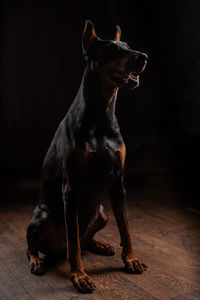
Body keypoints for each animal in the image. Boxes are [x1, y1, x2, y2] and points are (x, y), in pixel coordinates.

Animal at [26, 20, 148, 292]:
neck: (102, 114)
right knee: (40, 246)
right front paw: (79, 275)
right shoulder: (71, 188)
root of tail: (55, 250)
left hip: (101, 212)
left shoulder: (118, 183)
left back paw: (99, 244)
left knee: (84, 238)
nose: (144, 56)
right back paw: (37, 261)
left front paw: (131, 259)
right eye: (111, 50)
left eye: (128, 46)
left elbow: (126, 229)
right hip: (42, 217)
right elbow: (73, 245)